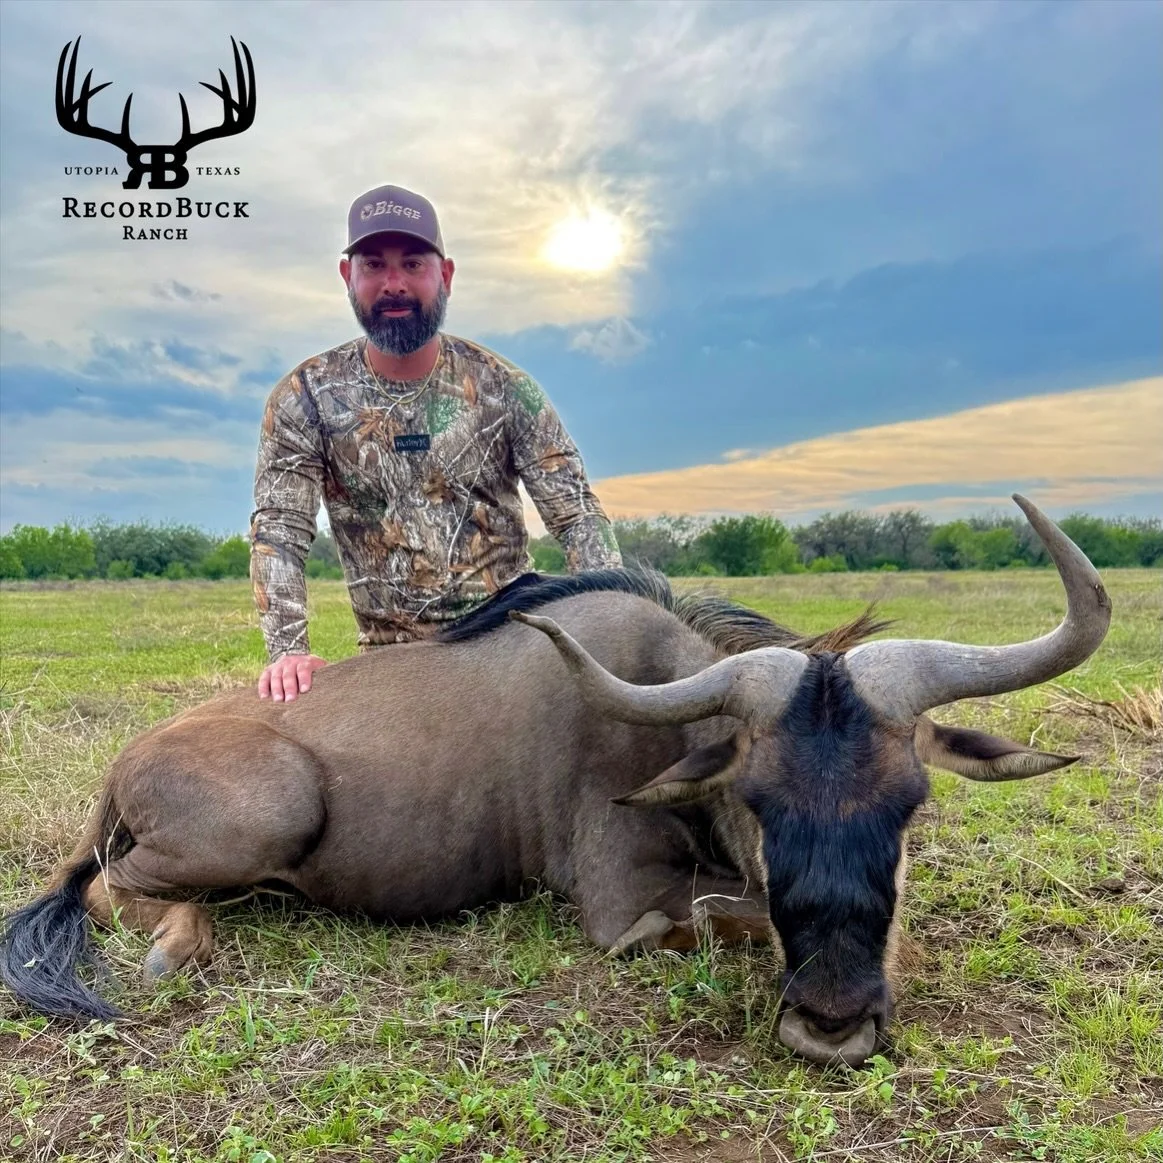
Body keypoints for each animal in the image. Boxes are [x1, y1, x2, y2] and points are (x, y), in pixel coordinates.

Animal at [0, 496, 1110, 1068]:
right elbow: (708, 916)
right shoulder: (623, 909)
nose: (830, 1023)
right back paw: (177, 945)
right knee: (114, 889)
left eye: (908, 803)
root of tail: (127, 760)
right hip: (268, 812)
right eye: (758, 801)